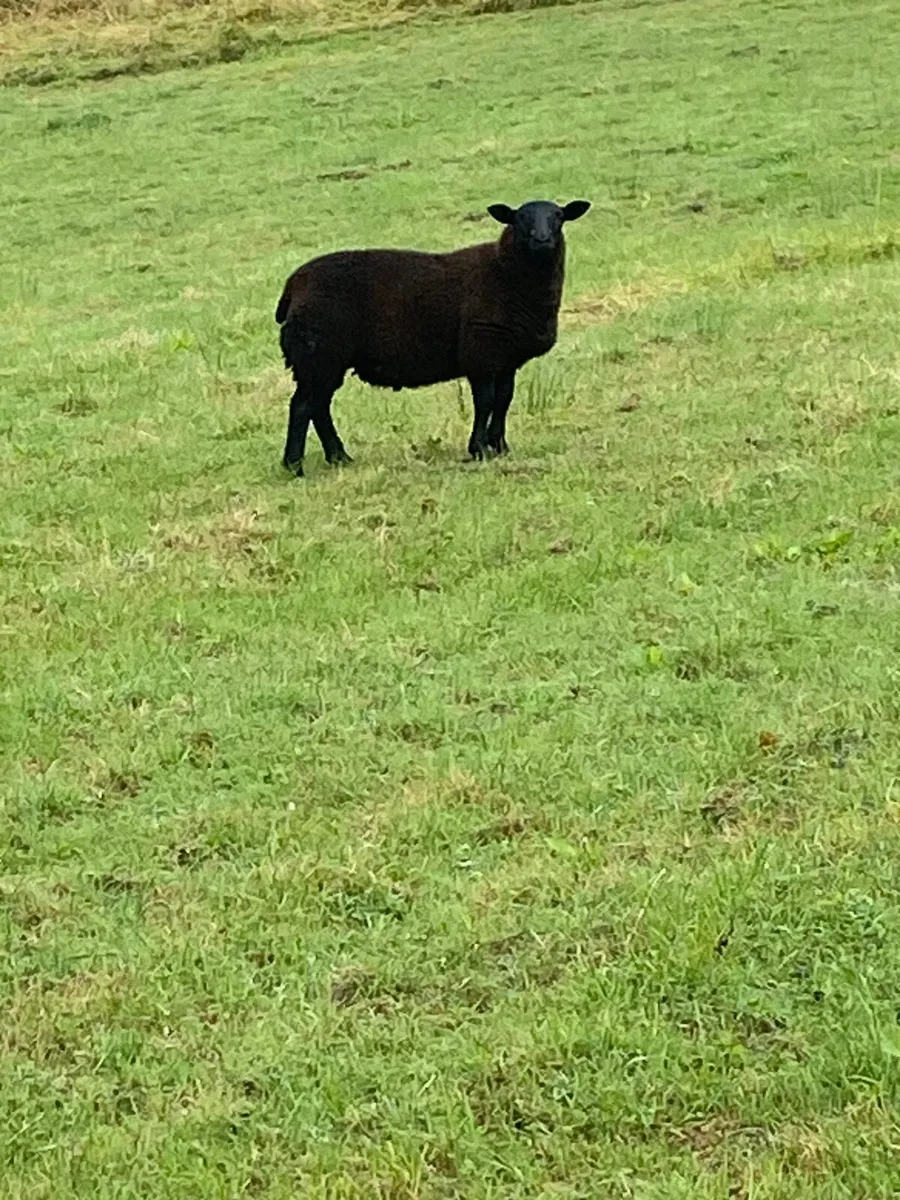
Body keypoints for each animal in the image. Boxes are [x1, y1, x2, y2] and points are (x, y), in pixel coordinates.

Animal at [274, 198, 591, 476]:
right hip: (319, 352)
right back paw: (294, 466)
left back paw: (339, 458)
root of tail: (293, 286)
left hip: (323, 358)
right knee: (303, 406)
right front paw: (479, 448)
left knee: (318, 406)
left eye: (558, 216)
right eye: (520, 217)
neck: (506, 274)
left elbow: (504, 399)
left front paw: (500, 446)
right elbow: (485, 401)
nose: (542, 239)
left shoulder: (505, 359)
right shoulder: (481, 354)